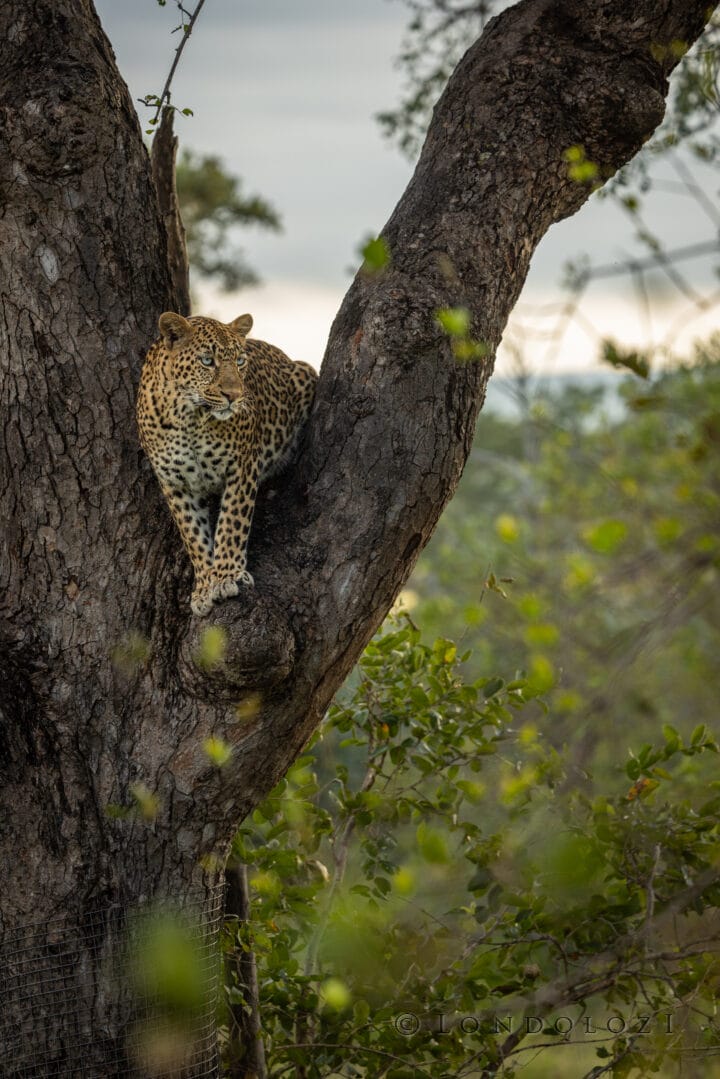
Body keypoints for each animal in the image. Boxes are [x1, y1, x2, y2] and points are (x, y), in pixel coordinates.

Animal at [136, 311, 317, 616]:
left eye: (240, 361)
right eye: (208, 361)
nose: (234, 395)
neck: (189, 418)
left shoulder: (242, 466)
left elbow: (232, 523)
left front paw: (226, 576)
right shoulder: (174, 483)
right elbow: (193, 534)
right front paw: (204, 585)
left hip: (305, 374)